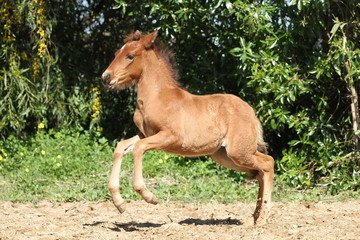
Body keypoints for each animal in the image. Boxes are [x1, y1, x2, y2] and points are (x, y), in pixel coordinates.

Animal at [100, 30, 274, 225]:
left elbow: (138, 148)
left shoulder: (171, 137)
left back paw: (263, 218)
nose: (106, 78)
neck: (157, 96)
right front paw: (119, 203)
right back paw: (253, 217)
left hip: (239, 152)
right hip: (226, 156)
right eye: (116, 53)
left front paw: (149, 196)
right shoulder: (143, 134)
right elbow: (120, 147)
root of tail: (251, 112)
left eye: (130, 56)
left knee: (268, 164)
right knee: (259, 172)